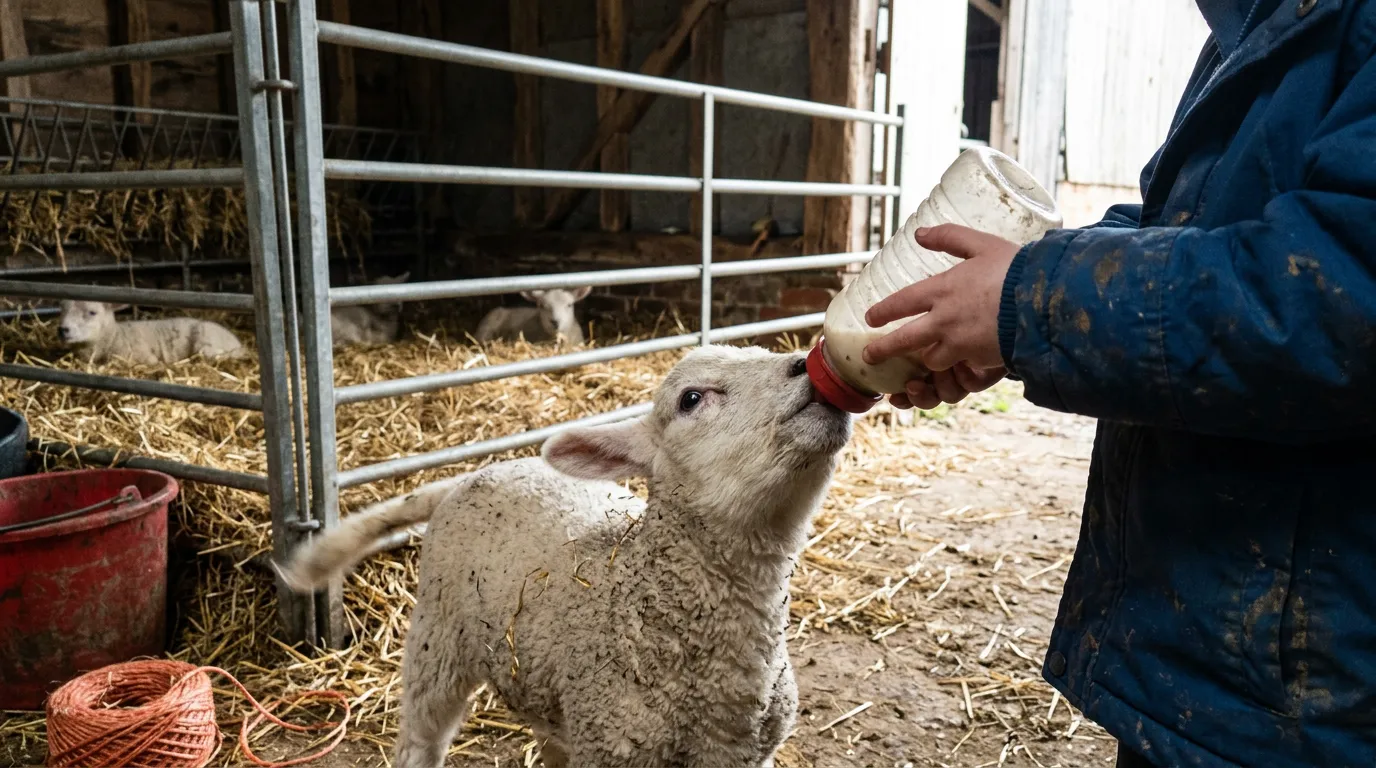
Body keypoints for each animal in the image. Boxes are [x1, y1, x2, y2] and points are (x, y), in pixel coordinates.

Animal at [57, 300, 246, 365]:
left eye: (92, 312)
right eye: (62, 309)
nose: (63, 329)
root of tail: (239, 343)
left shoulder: (143, 356)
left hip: (206, 344)